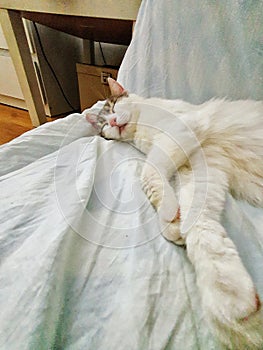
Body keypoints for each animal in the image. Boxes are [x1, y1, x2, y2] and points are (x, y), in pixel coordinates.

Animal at [86, 78, 263, 348]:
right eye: (105, 125)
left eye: (113, 107)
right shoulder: (201, 167)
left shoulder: (181, 131)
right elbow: (197, 223)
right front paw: (227, 292)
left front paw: (169, 213)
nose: (114, 122)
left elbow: (148, 172)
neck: (141, 129)